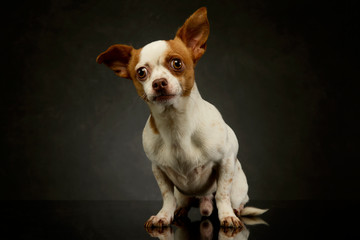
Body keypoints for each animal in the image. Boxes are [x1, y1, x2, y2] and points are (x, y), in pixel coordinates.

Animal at [97, 7, 266, 229]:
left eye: (177, 63)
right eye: (141, 72)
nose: (159, 82)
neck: (175, 123)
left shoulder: (226, 161)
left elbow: (222, 193)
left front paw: (227, 216)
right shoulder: (159, 170)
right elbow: (167, 196)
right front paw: (163, 215)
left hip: (239, 187)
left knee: (234, 199)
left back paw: (234, 210)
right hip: (183, 194)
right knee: (182, 201)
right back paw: (180, 211)